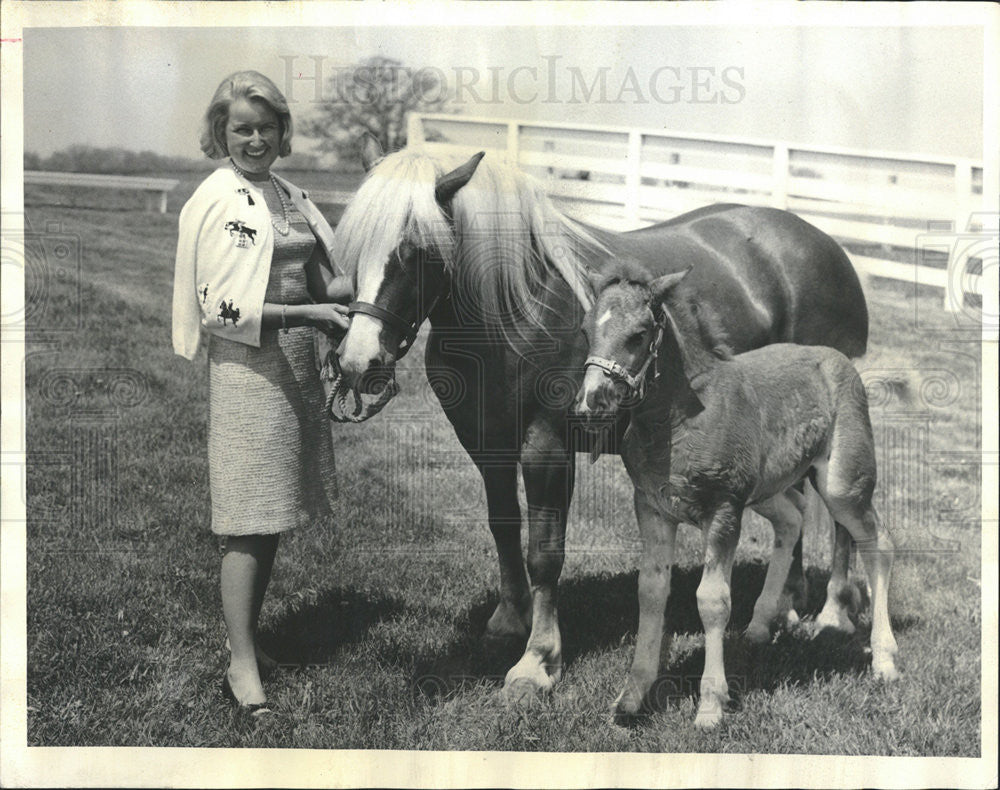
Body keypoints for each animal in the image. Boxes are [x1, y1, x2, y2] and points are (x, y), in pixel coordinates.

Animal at [572, 268, 900, 732]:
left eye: (638, 335)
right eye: (585, 331)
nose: (589, 404)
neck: (676, 420)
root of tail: (842, 361)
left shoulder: (723, 509)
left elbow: (712, 600)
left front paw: (710, 705)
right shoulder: (651, 507)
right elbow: (651, 591)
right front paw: (632, 696)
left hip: (842, 485)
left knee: (878, 543)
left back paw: (885, 659)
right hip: (765, 489)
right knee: (791, 519)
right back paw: (761, 625)